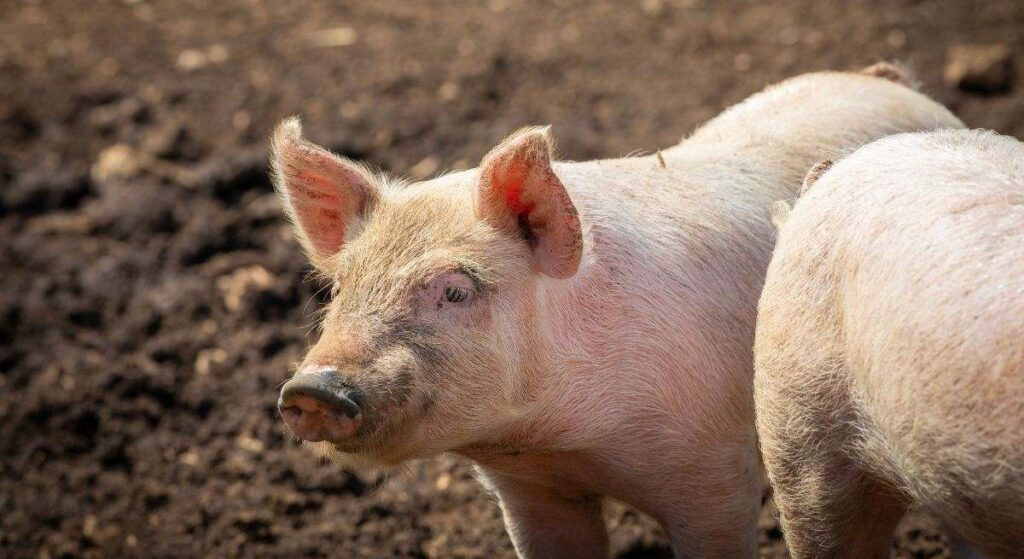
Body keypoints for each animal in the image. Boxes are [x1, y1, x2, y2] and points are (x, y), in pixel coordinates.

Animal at [272, 64, 963, 558]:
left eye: (456, 290)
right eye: (339, 289)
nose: (312, 388)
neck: (563, 438)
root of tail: (886, 79)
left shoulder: (716, 471)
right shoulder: (531, 492)